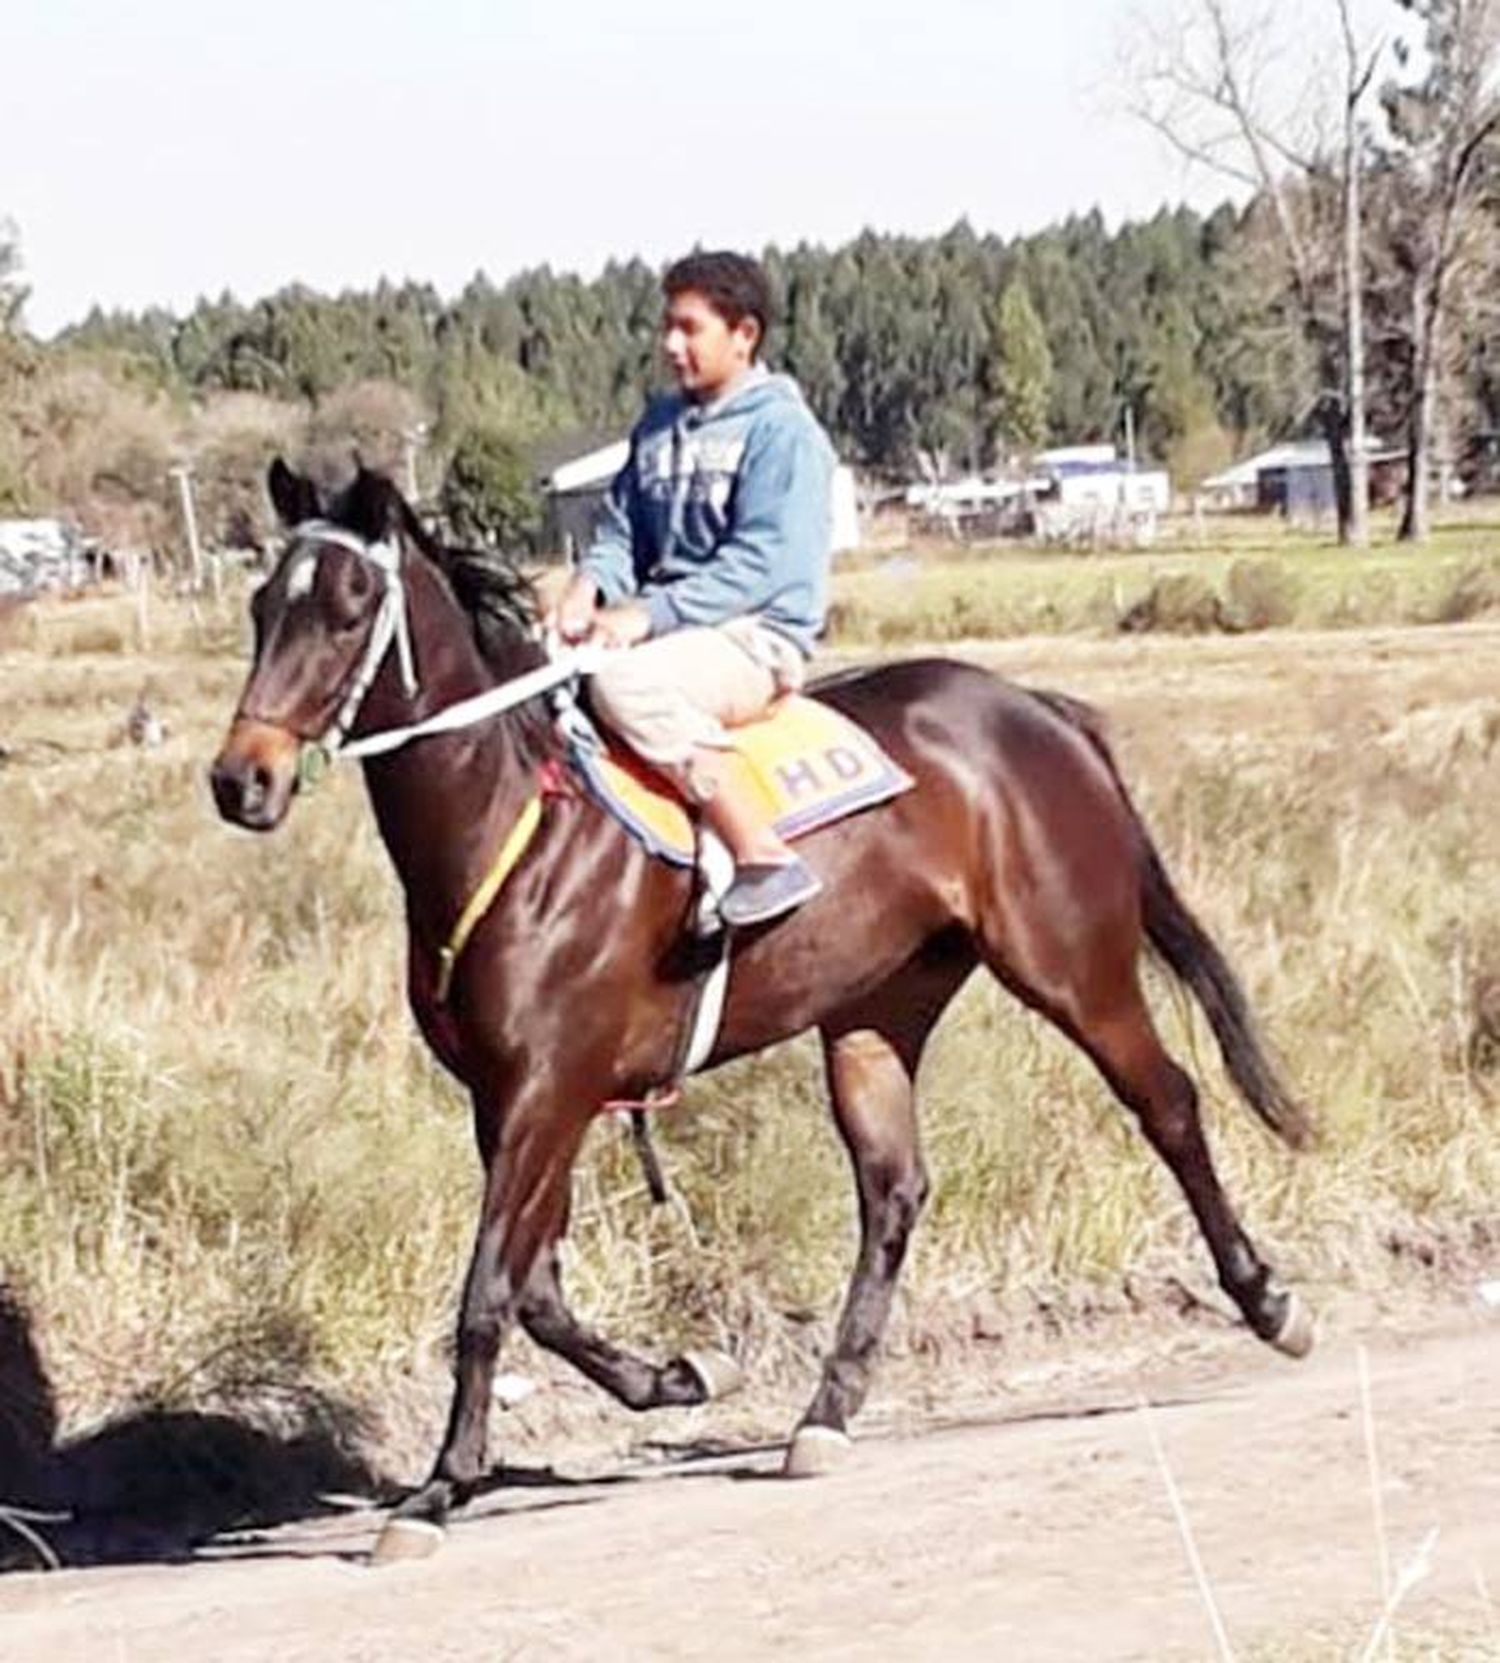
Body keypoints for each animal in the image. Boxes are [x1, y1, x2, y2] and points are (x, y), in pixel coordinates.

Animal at [208, 465, 1317, 1556]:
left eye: (350, 607)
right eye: (263, 606)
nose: (240, 778)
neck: (519, 825)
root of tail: (1034, 708)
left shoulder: (548, 1090)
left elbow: (487, 1292)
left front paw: (441, 1486)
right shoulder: (513, 1099)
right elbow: (537, 1292)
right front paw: (678, 1374)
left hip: (1071, 966)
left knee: (1167, 1103)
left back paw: (1269, 1301)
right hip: (876, 1012)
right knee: (894, 1190)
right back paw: (825, 1411)